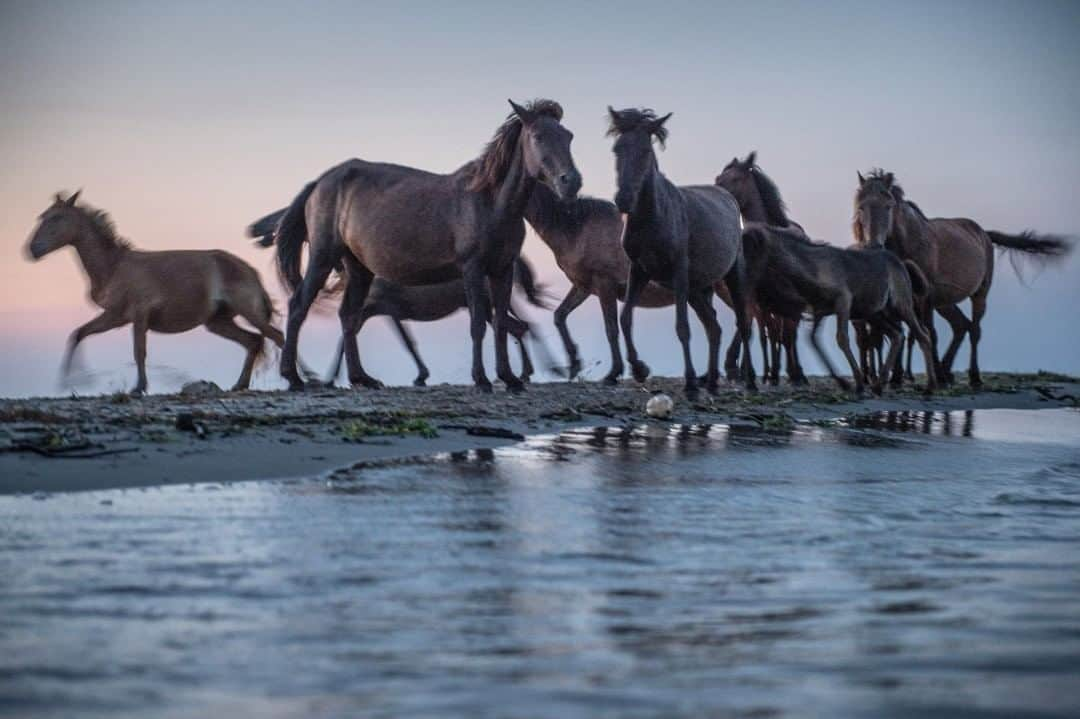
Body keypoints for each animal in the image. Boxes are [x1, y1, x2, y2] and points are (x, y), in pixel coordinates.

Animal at [28, 192, 291, 392]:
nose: (32, 250)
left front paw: (138, 388)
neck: (114, 266)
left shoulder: (139, 315)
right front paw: (70, 381)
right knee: (253, 341)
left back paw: (295, 381)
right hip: (218, 322)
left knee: (277, 337)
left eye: (57, 217)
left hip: (248, 312)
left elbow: (139, 351)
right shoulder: (115, 317)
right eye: (43, 216)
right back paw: (240, 385)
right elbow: (78, 334)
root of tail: (250, 270)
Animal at [276, 98, 583, 392]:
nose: (571, 182)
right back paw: (294, 377)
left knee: (348, 316)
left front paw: (509, 378)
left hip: (359, 269)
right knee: (299, 306)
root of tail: (319, 183)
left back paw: (361, 378)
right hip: (323, 257)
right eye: (538, 136)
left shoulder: (502, 270)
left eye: (568, 136)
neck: (490, 202)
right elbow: (477, 325)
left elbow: (499, 325)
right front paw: (482, 380)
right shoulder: (472, 269)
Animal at [609, 108, 751, 395]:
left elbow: (682, 327)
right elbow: (626, 317)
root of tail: (728, 197)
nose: (623, 200)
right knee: (714, 327)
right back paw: (711, 381)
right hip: (699, 287)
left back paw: (748, 380)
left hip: (733, 273)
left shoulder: (679, 270)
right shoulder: (638, 270)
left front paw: (689, 383)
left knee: (742, 320)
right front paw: (639, 369)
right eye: (617, 149)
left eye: (645, 151)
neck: (653, 217)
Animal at [851, 169, 1071, 386]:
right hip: (944, 303)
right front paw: (897, 377)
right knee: (960, 326)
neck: (908, 243)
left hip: (979, 294)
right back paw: (946, 370)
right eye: (861, 207)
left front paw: (933, 377)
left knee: (974, 329)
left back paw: (972, 376)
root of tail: (984, 234)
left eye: (888, 206)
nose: (873, 245)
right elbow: (903, 332)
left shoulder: (926, 299)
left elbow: (929, 332)